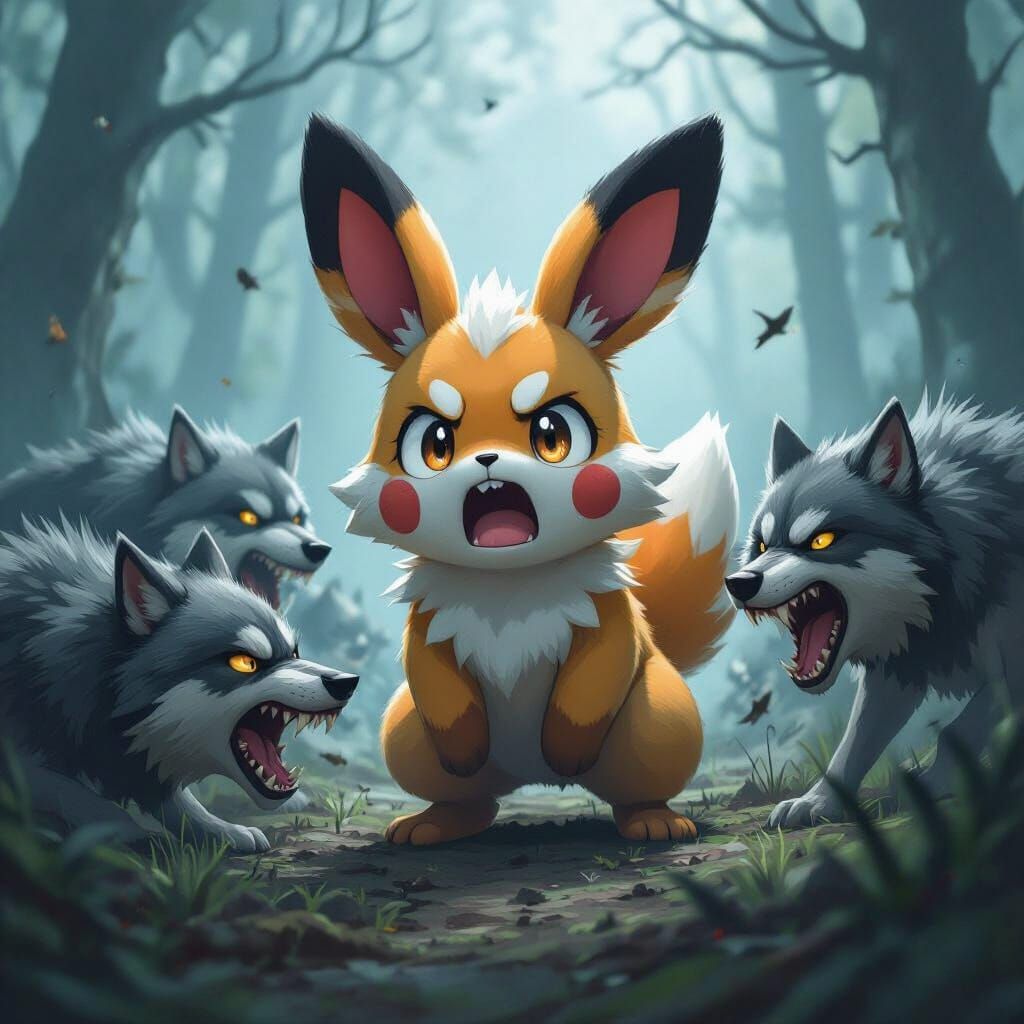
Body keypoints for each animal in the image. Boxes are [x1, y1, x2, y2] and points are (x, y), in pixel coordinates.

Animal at [0, 521, 358, 851]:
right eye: (245, 662)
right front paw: (121, 827)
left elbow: (178, 802)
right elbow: (66, 790)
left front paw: (224, 830)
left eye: (294, 652)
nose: (348, 682)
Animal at [726, 394, 1024, 827]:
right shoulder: (895, 670)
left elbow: (957, 729)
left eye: (821, 540)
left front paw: (934, 784)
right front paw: (816, 802)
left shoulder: (1011, 668)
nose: (738, 583)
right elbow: (854, 743)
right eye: (762, 546)